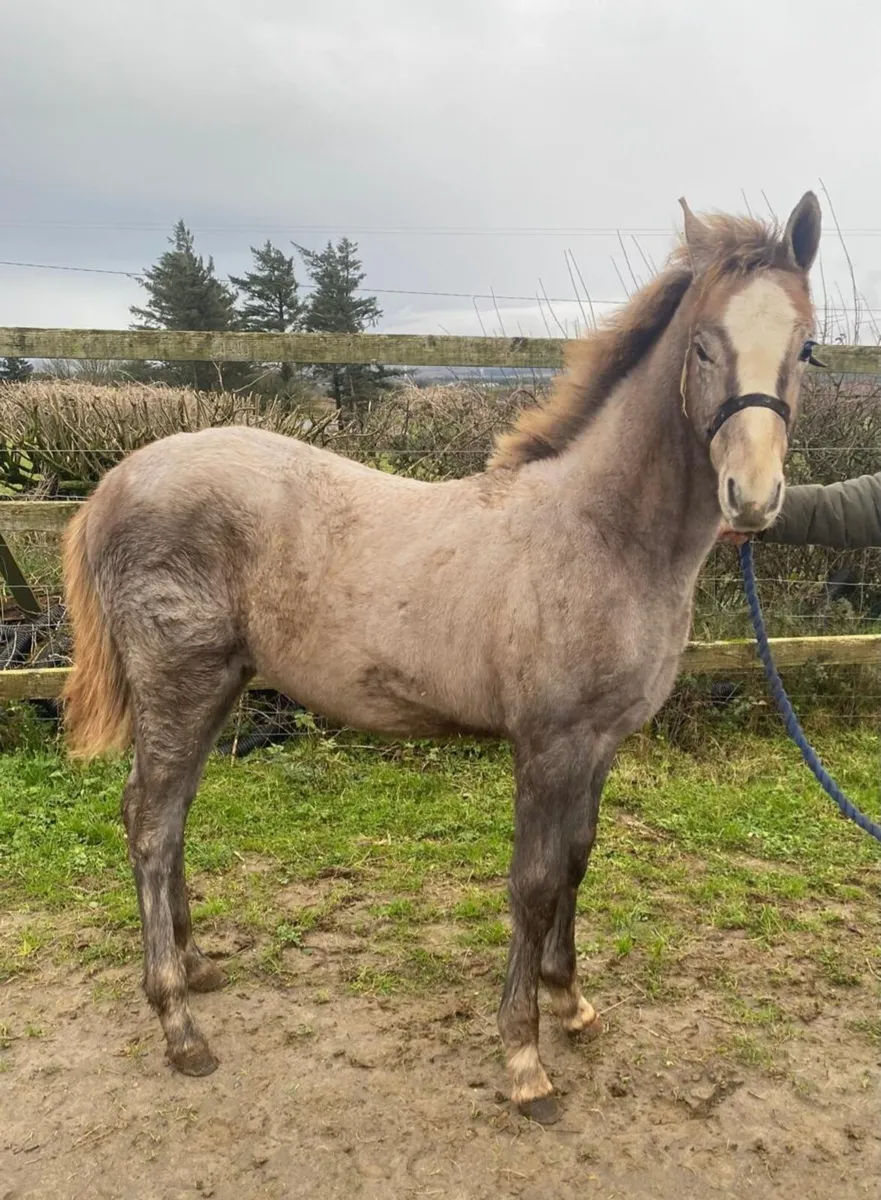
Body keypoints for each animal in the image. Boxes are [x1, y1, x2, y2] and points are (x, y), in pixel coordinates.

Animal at [60, 191, 821, 1122]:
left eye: (805, 346)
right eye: (703, 344)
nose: (751, 497)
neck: (600, 533)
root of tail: (115, 481)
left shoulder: (599, 744)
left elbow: (578, 860)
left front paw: (572, 1002)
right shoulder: (548, 745)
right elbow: (534, 882)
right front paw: (524, 1060)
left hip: (218, 686)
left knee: (172, 815)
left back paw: (198, 968)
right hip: (179, 682)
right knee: (149, 821)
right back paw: (178, 1024)